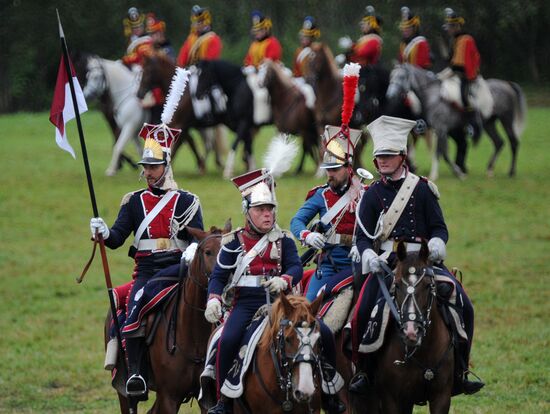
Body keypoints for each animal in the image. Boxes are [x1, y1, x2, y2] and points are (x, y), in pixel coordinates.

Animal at [109, 222, 232, 412]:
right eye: (208, 252)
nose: (227, 288)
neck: (193, 334)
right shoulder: (169, 397)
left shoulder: (206, 398)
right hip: (125, 391)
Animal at [354, 239, 458, 414]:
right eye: (395, 285)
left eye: (428, 285)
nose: (411, 332)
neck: (423, 350)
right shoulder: (391, 398)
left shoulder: (441, 397)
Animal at [386, 64, 528, 180]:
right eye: (392, 75)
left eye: (402, 76)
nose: (390, 95)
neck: (433, 95)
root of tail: (507, 84)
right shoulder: (441, 131)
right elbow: (444, 152)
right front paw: (458, 172)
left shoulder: (441, 129)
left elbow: (441, 152)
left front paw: (436, 174)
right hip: (489, 124)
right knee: (499, 142)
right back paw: (489, 170)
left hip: (506, 120)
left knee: (513, 142)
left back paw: (511, 172)